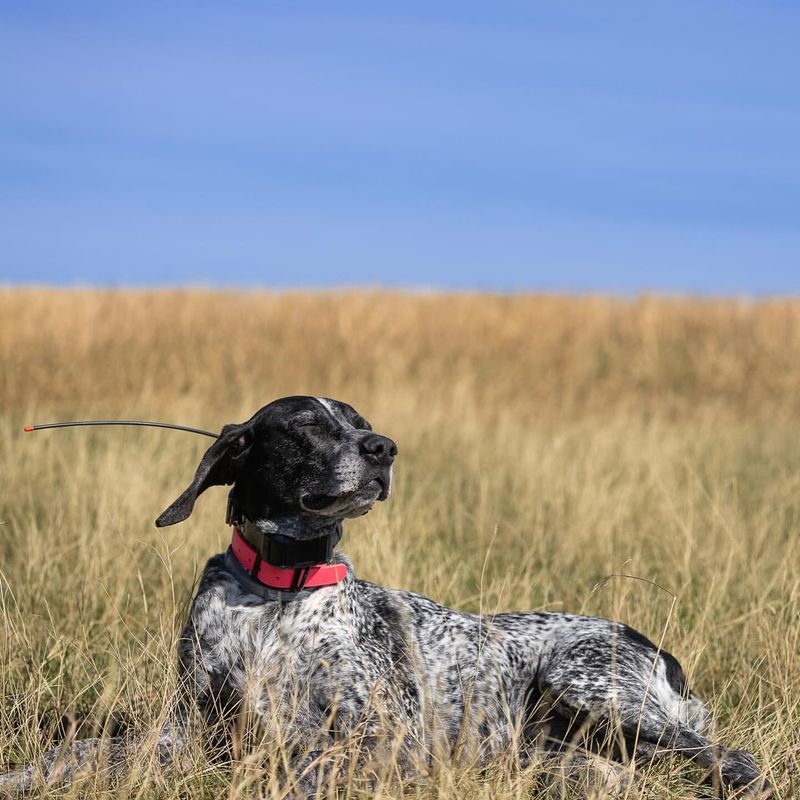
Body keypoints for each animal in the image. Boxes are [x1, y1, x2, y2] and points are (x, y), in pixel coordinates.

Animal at [3, 396, 772, 796]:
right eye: (308, 424)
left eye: (359, 419)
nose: (384, 447)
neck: (277, 596)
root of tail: (661, 652)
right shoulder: (187, 731)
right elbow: (85, 750)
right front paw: (26, 773)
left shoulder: (382, 740)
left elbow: (305, 767)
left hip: (590, 682)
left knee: (730, 758)